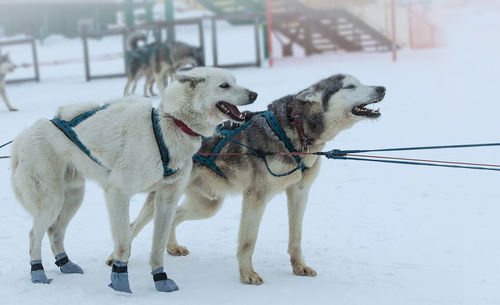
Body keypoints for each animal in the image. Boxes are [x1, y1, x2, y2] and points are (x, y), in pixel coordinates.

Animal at [10, 67, 258, 292]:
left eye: (235, 81)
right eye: (224, 85)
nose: (254, 94)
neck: (168, 125)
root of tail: (23, 135)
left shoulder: (167, 198)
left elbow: (158, 244)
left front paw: (160, 279)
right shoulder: (118, 193)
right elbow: (124, 243)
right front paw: (120, 281)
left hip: (73, 197)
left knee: (54, 231)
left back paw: (66, 264)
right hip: (51, 200)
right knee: (34, 234)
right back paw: (38, 273)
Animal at [112, 75, 386, 284]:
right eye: (349, 86)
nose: (382, 88)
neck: (296, 131)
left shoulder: (299, 191)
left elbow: (295, 237)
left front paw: (299, 267)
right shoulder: (256, 198)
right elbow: (248, 242)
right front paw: (247, 275)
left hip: (207, 205)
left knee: (174, 217)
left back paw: (171, 247)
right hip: (166, 199)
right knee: (133, 225)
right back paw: (115, 257)